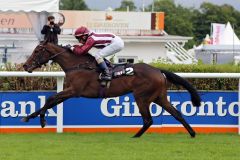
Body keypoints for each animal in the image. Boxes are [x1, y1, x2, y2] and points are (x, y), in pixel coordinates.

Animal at [22, 42, 201, 138]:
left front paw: (41, 120)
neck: (77, 65)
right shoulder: (69, 92)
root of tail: (158, 70)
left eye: (37, 51)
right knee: (177, 114)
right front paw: (31, 116)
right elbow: (51, 101)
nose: (25, 66)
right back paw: (192, 133)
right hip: (160, 97)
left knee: (148, 120)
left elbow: (50, 99)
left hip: (141, 97)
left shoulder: (74, 91)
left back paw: (135, 136)